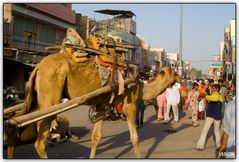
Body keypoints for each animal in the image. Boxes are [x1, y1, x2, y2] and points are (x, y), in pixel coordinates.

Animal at [4, 27, 180, 158]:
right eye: (173, 72)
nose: (180, 77)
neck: (140, 85)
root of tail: (37, 68)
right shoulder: (129, 103)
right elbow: (135, 138)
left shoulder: (102, 104)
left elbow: (96, 137)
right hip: (49, 99)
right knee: (40, 142)